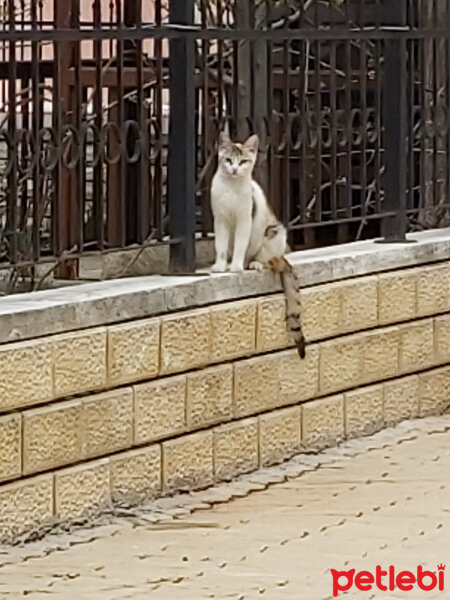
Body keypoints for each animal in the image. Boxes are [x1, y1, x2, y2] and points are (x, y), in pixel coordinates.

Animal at [210, 131, 306, 356]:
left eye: (244, 161)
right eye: (228, 160)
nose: (235, 169)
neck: (231, 188)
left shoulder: (246, 218)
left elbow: (240, 245)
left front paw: (236, 267)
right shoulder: (220, 220)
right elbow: (221, 245)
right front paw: (220, 266)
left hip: (275, 232)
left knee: (269, 260)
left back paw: (253, 264)